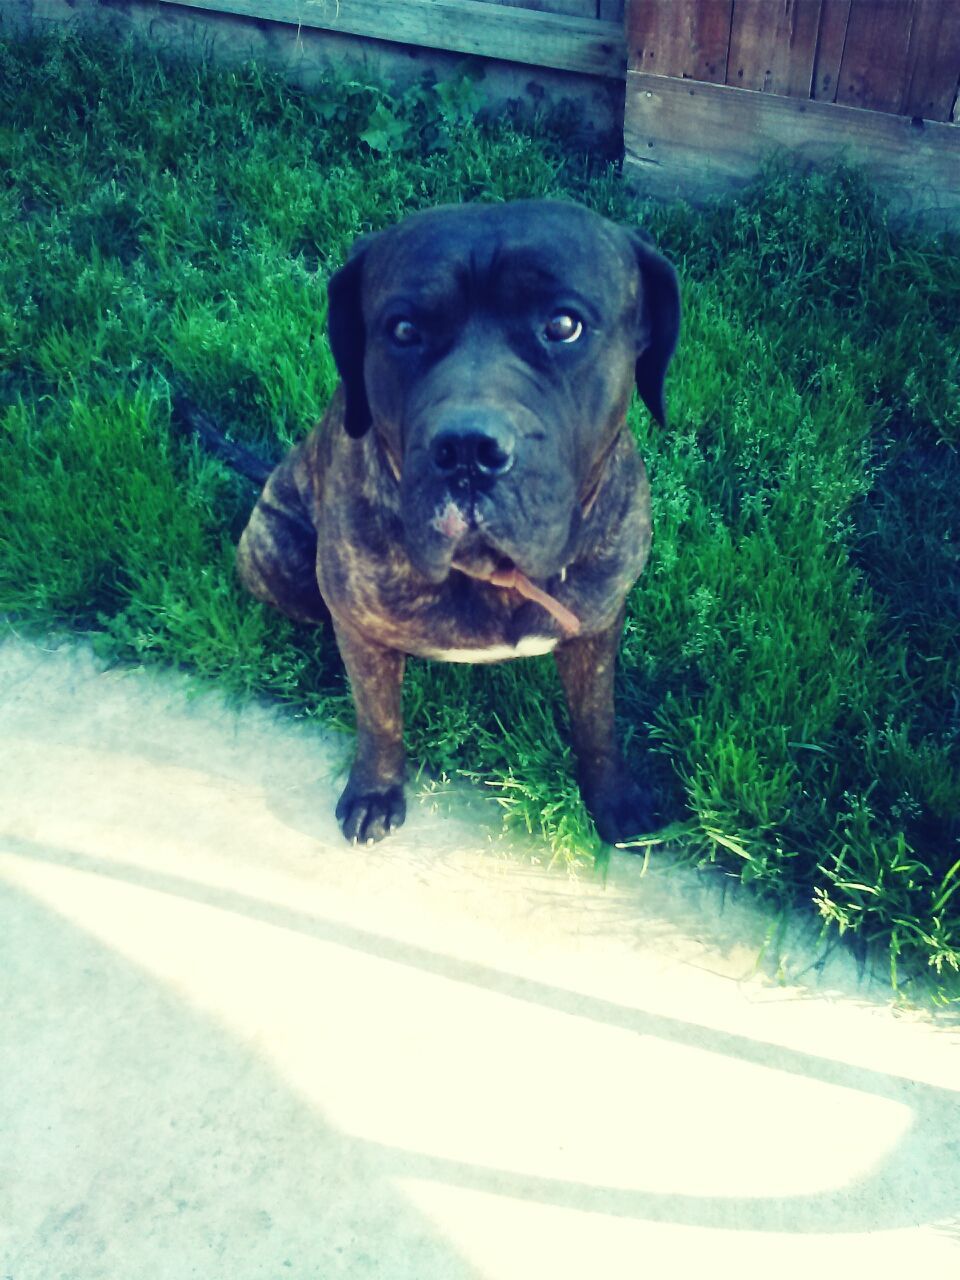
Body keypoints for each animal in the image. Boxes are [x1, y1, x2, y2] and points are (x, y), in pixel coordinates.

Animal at [208, 197, 675, 839]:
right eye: (404, 330)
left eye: (563, 326)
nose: (467, 449)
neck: (490, 573)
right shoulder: (361, 626)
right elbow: (378, 717)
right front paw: (375, 790)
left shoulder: (597, 624)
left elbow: (596, 720)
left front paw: (613, 795)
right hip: (278, 559)